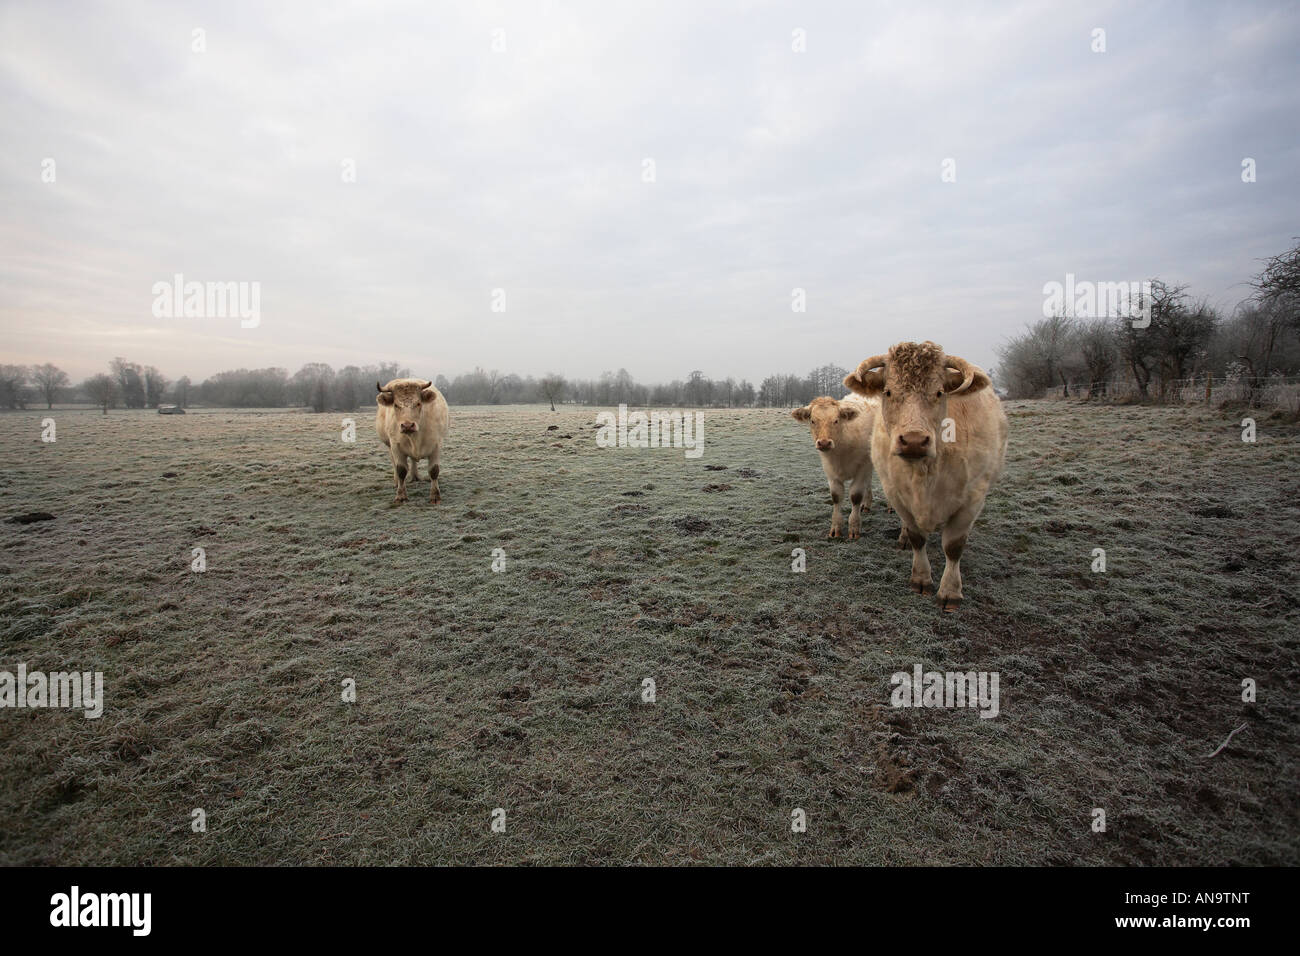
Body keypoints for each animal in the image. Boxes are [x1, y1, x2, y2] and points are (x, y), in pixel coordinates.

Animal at [837, 343, 1008, 613]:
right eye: (888, 392)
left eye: (939, 392)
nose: (914, 440)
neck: (925, 472)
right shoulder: (896, 492)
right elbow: (917, 538)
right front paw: (920, 579)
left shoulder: (973, 498)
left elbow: (954, 547)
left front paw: (950, 592)